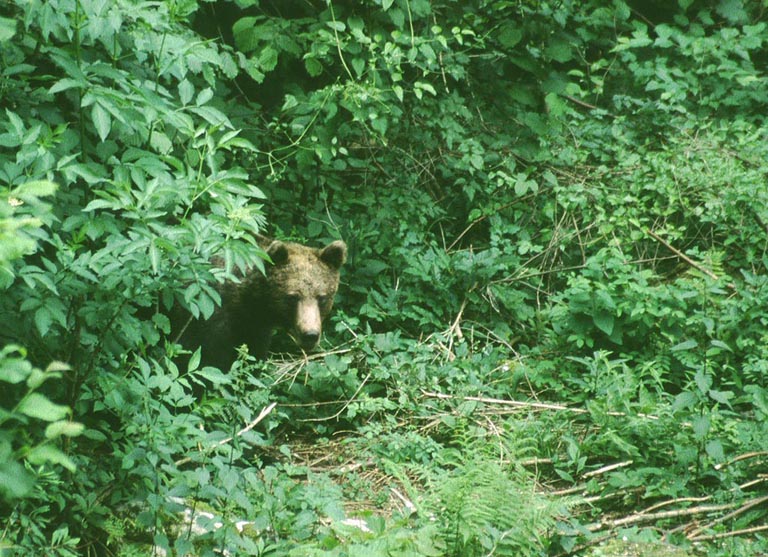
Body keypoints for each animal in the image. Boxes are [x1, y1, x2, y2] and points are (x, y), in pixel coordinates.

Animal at [178, 236, 346, 370]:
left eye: (322, 297)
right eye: (292, 297)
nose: (310, 334)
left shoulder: (256, 329)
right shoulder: (210, 319)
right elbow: (210, 363)